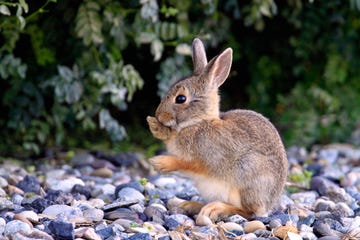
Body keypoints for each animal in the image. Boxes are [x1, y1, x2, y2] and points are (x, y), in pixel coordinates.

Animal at [146, 38, 286, 221]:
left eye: (181, 98)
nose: (159, 115)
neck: (198, 122)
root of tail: (269, 205)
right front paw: (155, 126)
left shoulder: (208, 158)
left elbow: (186, 163)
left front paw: (160, 163)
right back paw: (190, 205)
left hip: (247, 179)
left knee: (249, 213)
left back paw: (215, 209)